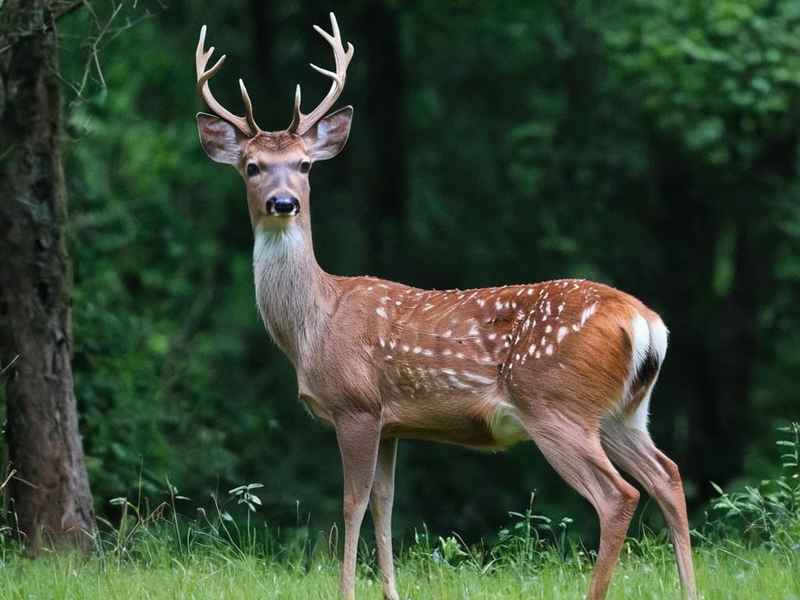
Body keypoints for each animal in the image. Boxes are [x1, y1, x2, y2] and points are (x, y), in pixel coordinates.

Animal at [194, 13, 697, 600]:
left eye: (303, 166)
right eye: (252, 167)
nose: (283, 202)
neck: (312, 325)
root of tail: (646, 323)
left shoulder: (355, 404)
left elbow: (352, 504)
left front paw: (347, 590)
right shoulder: (391, 422)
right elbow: (386, 506)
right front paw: (390, 591)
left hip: (556, 403)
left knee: (618, 495)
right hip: (625, 411)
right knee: (667, 474)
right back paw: (691, 589)